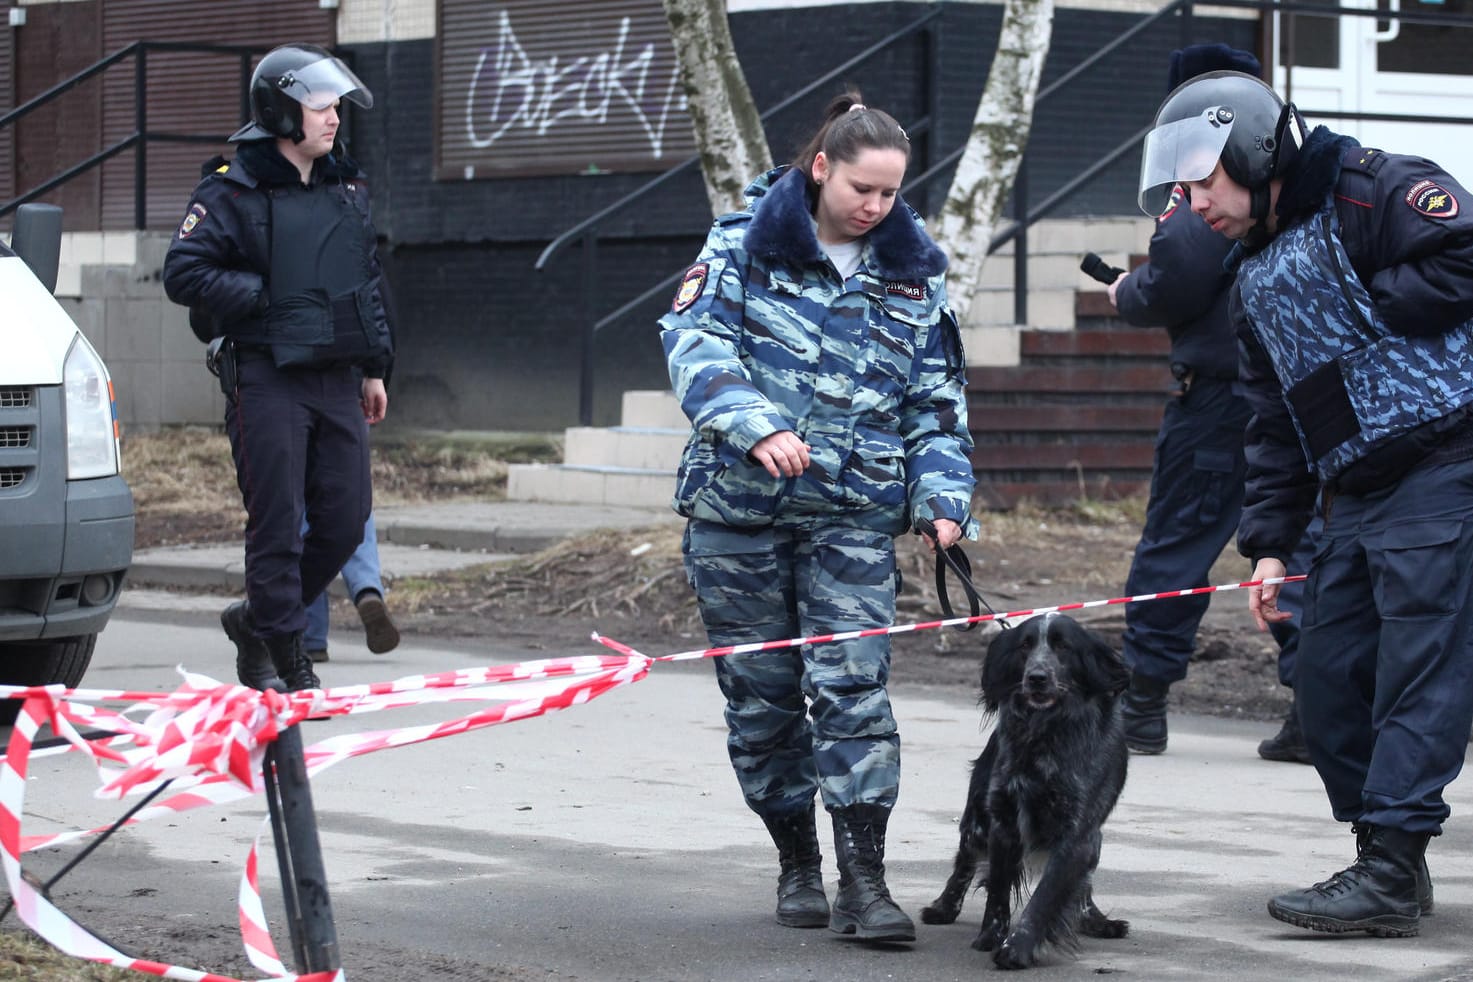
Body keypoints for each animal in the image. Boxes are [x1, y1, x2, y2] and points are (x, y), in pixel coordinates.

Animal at [925, 615, 1131, 965]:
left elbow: (1048, 894)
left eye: (1063, 646)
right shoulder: (1003, 821)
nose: (1036, 678)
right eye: (1025, 645)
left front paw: (1017, 948)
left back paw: (1096, 920)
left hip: (1094, 840)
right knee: (964, 862)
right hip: (977, 820)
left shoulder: (1076, 833)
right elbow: (997, 891)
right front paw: (990, 938)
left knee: (1082, 885)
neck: (1044, 734)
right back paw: (943, 907)